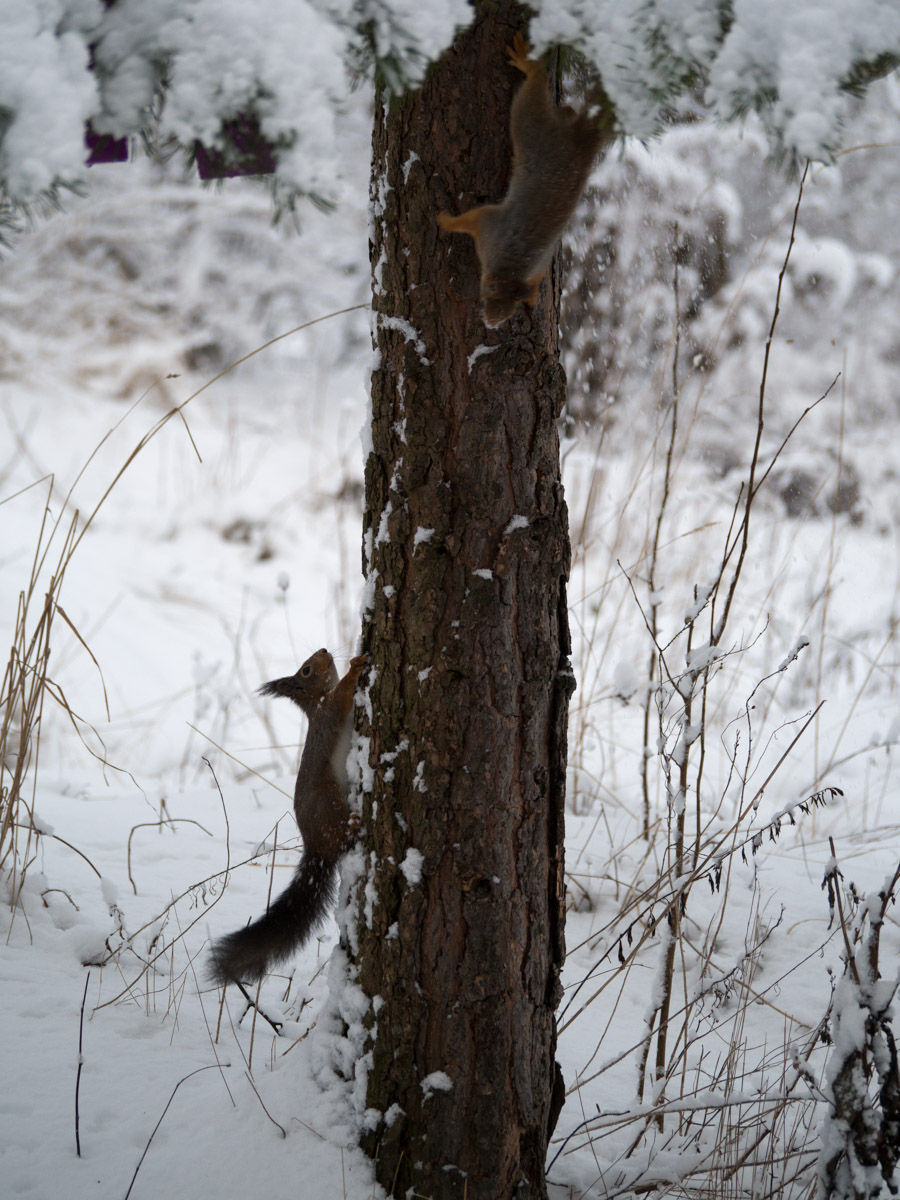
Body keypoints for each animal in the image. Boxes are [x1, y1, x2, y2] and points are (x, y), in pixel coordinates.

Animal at [210, 652, 367, 988]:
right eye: (306, 670)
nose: (325, 650)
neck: (316, 699)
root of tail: (316, 848)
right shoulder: (328, 711)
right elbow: (341, 697)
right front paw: (355, 666)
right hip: (327, 800)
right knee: (341, 830)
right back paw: (352, 825)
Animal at [439, 37, 609, 328]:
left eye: (513, 309)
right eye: (487, 295)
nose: (491, 324)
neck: (513, 266)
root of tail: (580, 144)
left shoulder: (498, 235)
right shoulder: (494, 231)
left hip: (532, 125)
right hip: (533, 124)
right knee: (545, 98)